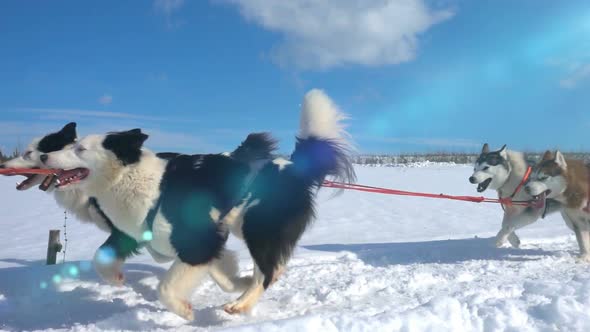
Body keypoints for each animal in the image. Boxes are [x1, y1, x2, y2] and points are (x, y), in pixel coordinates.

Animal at [41, 88, 356, 320]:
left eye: (80, 148)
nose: (44, 156)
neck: (136, 179)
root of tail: (292, 166)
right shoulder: (191, 240)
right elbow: (101, 258)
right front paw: (116, 278)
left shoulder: (198, 240)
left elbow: (166, 287)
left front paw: (184, 311)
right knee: (271, 270)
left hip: (258, 226)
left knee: (267, 272)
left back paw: (240, 305)